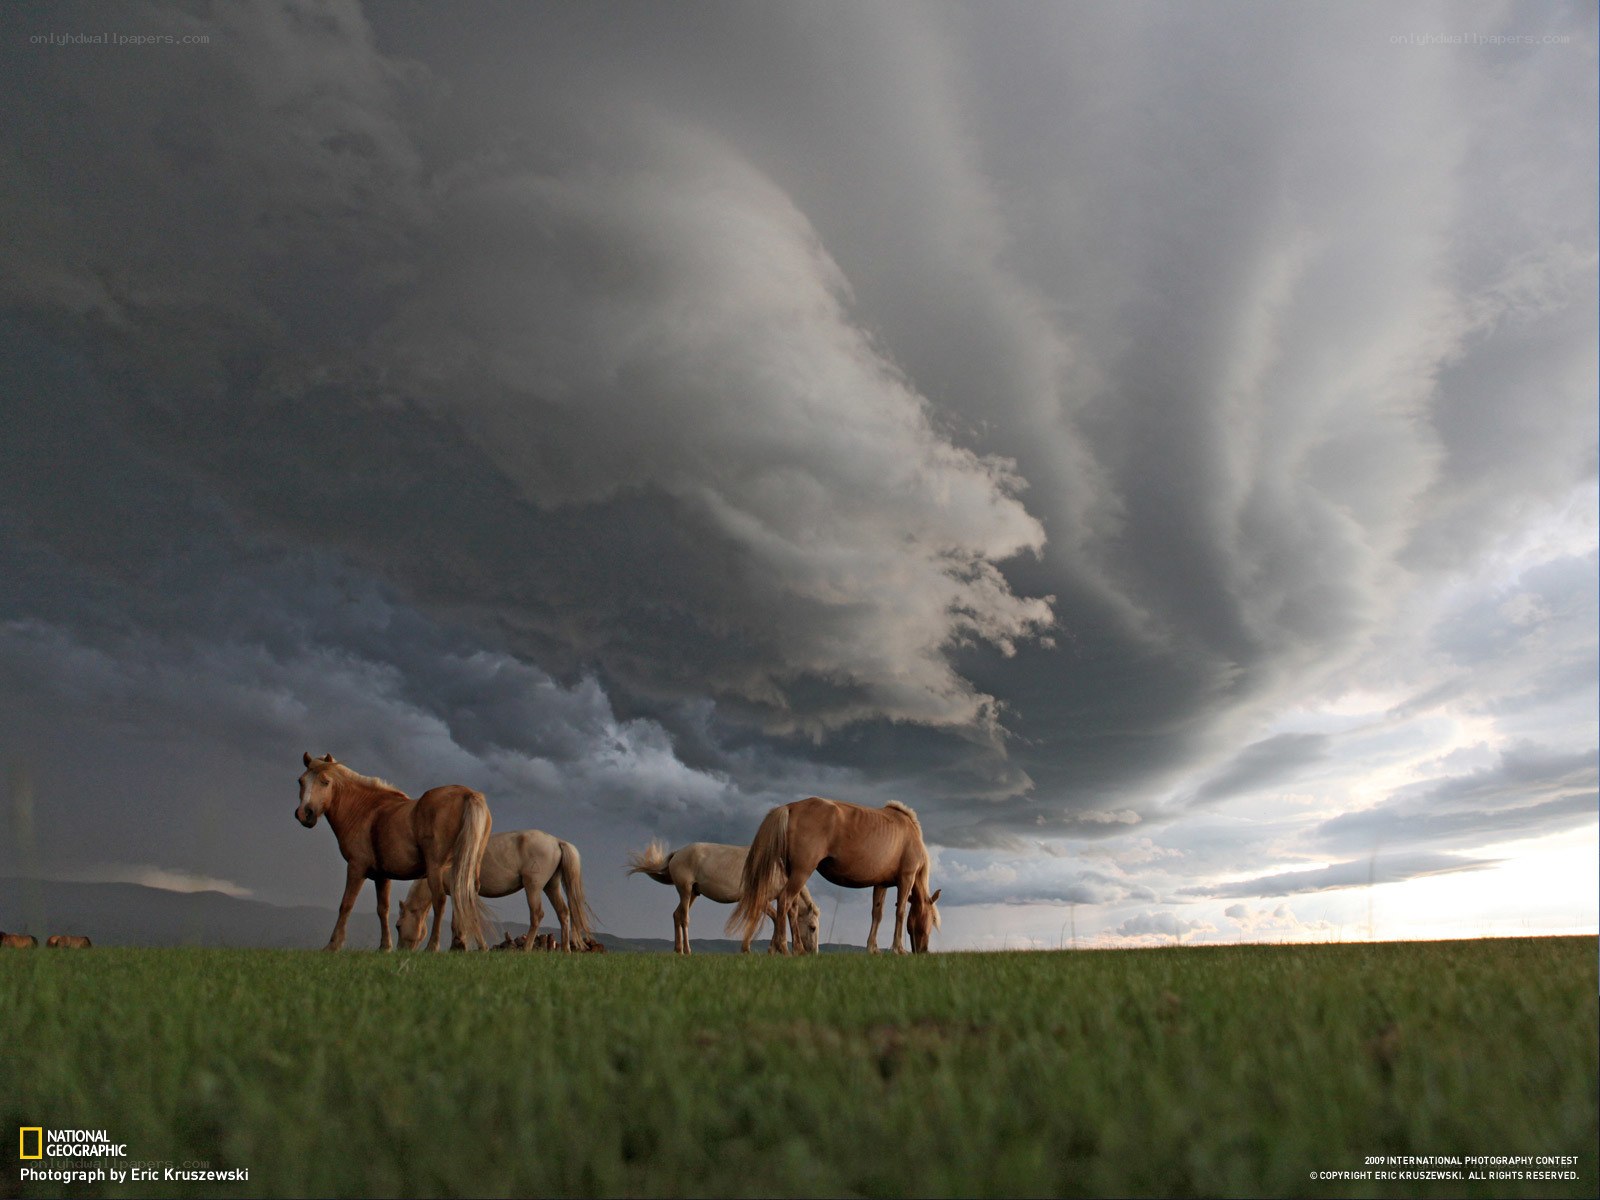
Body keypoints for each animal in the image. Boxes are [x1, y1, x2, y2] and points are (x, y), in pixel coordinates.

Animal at [295, 752, 492, 951]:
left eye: (325, 781)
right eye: (301, 781)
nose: (305, 814)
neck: (365, 810)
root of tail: (468, 794)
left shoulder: (356, 867)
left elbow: (346, 904)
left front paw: (333, 945)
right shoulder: (382, 876)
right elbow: (383, 909)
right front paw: (385, 946)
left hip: (436, 869)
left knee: (440, 901)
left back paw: (433, 946)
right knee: (466, 898)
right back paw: (475, 946)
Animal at [396, 827, 595, 953]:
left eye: (398, 926)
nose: (400, 951)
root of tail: (556, 841)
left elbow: (467, 919)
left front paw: (474, 947)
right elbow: (457, 921)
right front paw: (457, 946)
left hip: (534, 887)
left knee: (537, 915)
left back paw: (527, 949)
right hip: (551, 886)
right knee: (563, 912)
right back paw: (566, 950)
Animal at [628, 841, 821, 955]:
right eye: (812, 927)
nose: (813, 952)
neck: (775, 868)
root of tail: (678, 853)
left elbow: (769, 919)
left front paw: (768, 949)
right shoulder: (760, 900)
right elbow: (771, 919)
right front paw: (760, 949)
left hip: (692, 894)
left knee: (676, 915)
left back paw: (678, 950)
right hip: (685, 891)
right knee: (683, 918)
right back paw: (688, 951)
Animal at [728, 798, 941, 954]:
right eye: (931, 920)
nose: (923, 950)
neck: (910, 834)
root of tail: (790, 807)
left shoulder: (880, 884)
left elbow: (877, 914)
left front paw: (873, 948)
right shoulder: (906, 878)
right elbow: (900, 912)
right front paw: (899, 949)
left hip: (793, 873)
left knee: (792, 908)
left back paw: (794, 949)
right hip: (802, 871)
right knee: (784, 900)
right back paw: (783, 947)